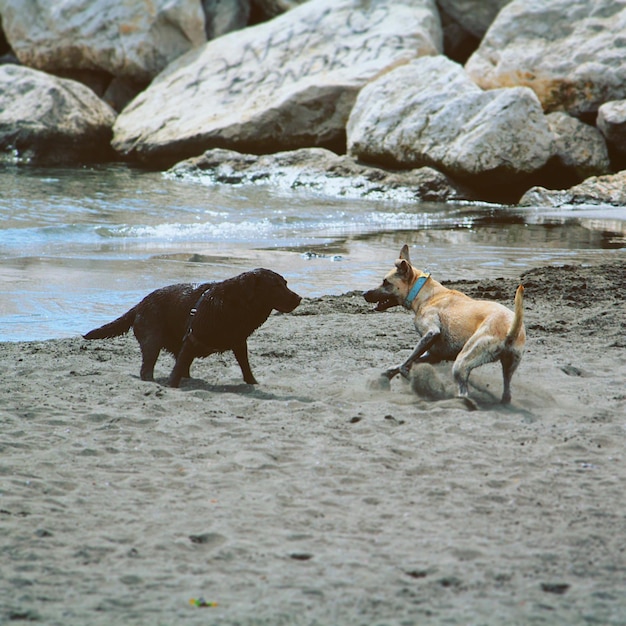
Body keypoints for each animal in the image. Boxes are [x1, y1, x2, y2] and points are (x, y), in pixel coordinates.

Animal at [81, 268, 302, 386]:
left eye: (285, 283)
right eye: (275, 286)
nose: (299, 298)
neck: (234, 305)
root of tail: (139, 305)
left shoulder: (239, 342)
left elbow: (245, 366)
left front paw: (252, 382)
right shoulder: (192, 338)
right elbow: (177, 369)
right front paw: (171, 385)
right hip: (153, 339)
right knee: (148, 368)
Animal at [364, 244, 524, 404]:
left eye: (386, 282)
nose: (364, 294)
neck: (426, 295)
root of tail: (511, 329)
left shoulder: (431, 333)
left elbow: (405, 363)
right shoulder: (434, 354)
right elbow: (402, 364)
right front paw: (386, 376)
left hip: (462, 363)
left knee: (464, 391)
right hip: (508, 366)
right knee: (507, 393)